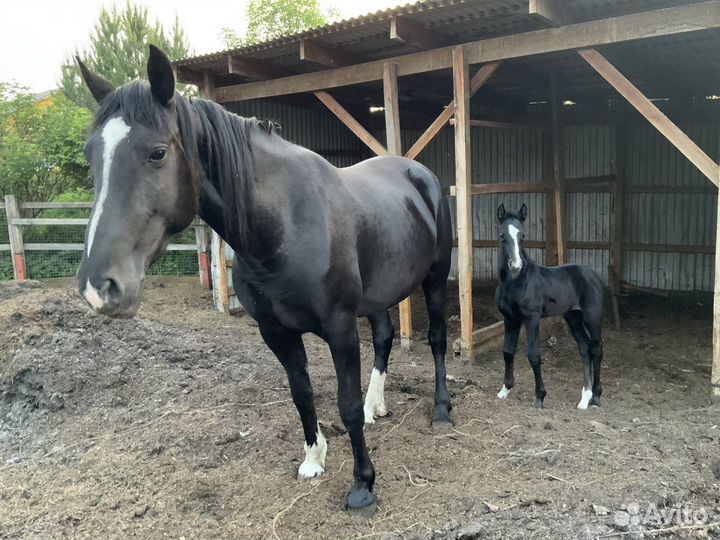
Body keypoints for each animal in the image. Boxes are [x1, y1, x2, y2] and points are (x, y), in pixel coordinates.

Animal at [74, 45, 453, 511]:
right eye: (91, 154)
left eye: (157, 152)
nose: (99, 286)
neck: (284, 224)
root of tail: (420, 175)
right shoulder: (275, 331)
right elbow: (301, 393)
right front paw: (313, 459)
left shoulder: (339, 327)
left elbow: (343, 403)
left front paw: (363, 484)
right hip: (378, 293)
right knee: (383, 338)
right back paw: (375, 407)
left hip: (435, 277)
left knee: (436, 338)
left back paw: (441, 410)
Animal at [494, 204, 605, 410]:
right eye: (502, 235)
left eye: (522, 235)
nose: (515, 265)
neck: (516, 282)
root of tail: (594, 274)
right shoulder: (510, 318)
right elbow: (507, 351)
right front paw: (505, 390)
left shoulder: (532, 317)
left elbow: (534, 355)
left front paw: (540, 397)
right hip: (573, 317)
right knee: (584, 348)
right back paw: (584, 398)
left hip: (593, 317)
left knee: (596, 349)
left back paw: (596, 397)